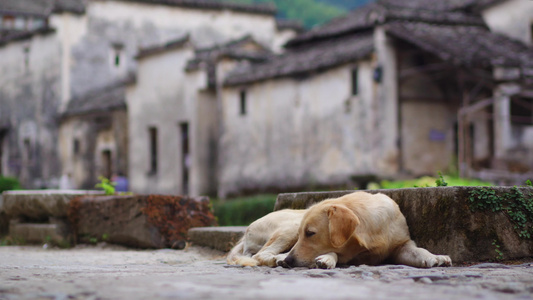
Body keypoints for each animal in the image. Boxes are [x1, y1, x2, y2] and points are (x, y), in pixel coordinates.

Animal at [227, 192, 450, 270]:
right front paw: (326, 259)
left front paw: (435, 257)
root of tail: (246, 232)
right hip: (289, 227)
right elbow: (335, 251)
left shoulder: (401, 245)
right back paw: (279, 258)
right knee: (262, 255)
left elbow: (418, 250)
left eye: (310, 233)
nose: (290, 261)